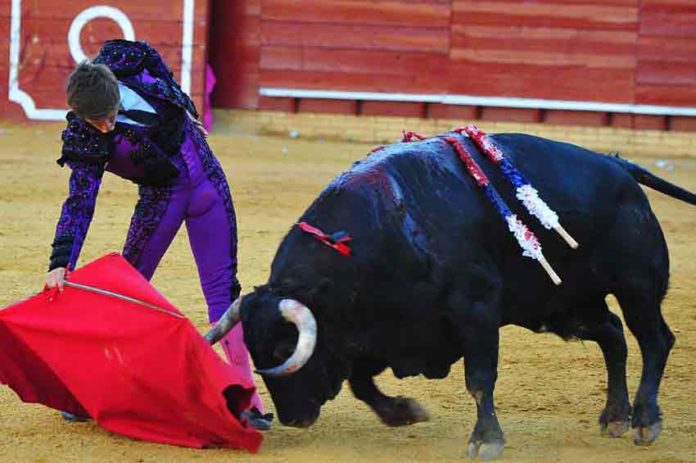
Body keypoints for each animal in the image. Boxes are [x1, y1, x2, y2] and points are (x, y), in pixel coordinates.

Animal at [204, 133, 692, 460]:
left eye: (283, 349)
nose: (292, 418)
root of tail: (619, 167)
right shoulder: (381, 331)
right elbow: (362, 383)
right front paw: (404, 412)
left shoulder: (476, 311)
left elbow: (479, 379)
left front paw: (485, 440)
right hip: (567, 305)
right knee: (613, 336)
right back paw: (614, 416)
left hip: (636, 286)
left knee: (654, 340)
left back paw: (645, 421)